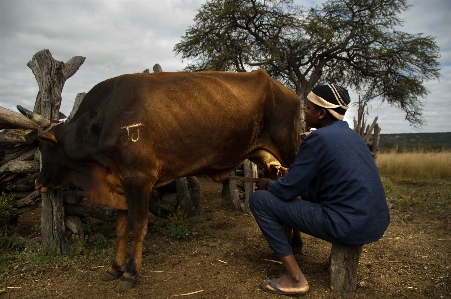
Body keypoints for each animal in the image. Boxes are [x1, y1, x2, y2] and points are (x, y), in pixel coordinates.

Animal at [35, 69, 302, 292]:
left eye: (42, 148)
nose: (38, 182)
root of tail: (287, 90)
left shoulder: (139, 180)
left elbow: (137, 227)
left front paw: (130, 273)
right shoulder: (120, 185)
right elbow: (121, 229)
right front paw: (114, 268)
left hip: (290, 152)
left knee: (297, 196)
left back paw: (296, 246)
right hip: (269, 163)